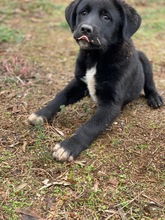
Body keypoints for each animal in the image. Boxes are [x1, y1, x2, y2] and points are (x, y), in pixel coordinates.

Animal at [28, 0, 164, 162]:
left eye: (106, 17)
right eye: (83, 12)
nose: (85, 28)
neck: (95, 58)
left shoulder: (111, 104)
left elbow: (90, 126)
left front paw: (68, 146)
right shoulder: (79, 82)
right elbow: (60, 97)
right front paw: (41, 114)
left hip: (144, 59)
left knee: (149, 83)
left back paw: (155, 98)